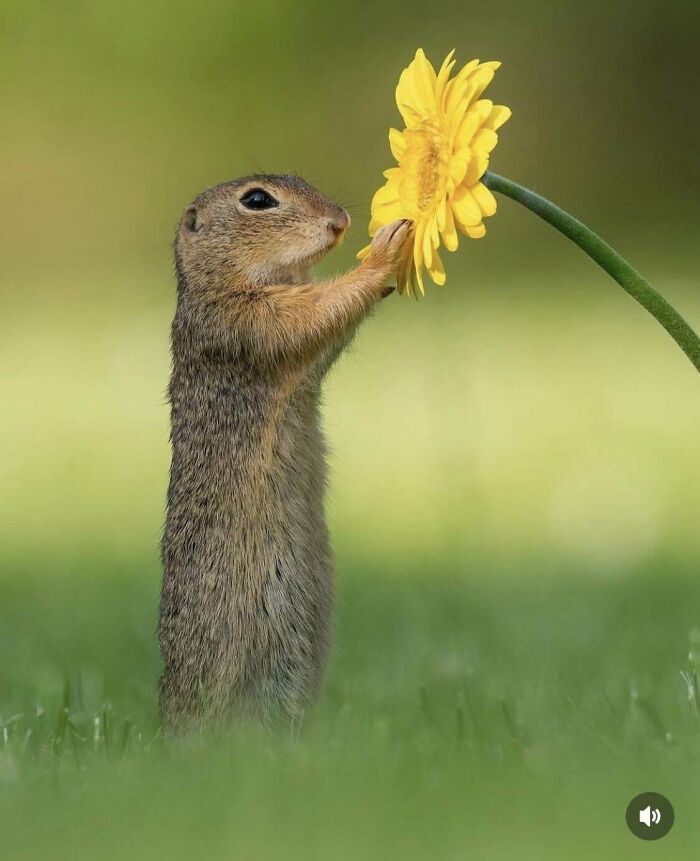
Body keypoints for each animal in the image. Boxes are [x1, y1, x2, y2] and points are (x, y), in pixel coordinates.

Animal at [158, 174, 412, 728]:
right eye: (257, 200)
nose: (340, 221)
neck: (218, 283)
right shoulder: (245, 321)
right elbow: (313, 312)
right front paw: (384, 253)